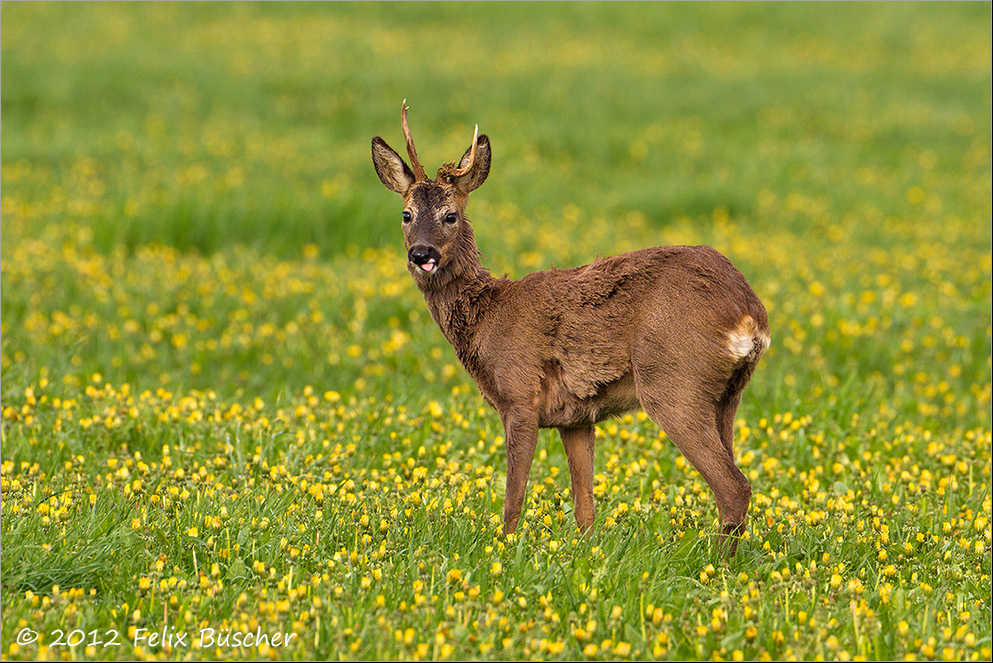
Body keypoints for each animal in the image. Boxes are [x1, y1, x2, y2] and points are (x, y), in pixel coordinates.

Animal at [372, 104, 768, 556]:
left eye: (450, 215)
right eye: (406, 215)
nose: (421, 254)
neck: (488, 320)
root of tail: (749, 311)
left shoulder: (520, 397)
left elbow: (514, 497)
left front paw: (504, 550)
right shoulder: (575, 417)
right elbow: (585, 508)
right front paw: (587, 554)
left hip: (674, 381)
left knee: (734, 486)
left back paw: (714, 564)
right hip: (729, 394)